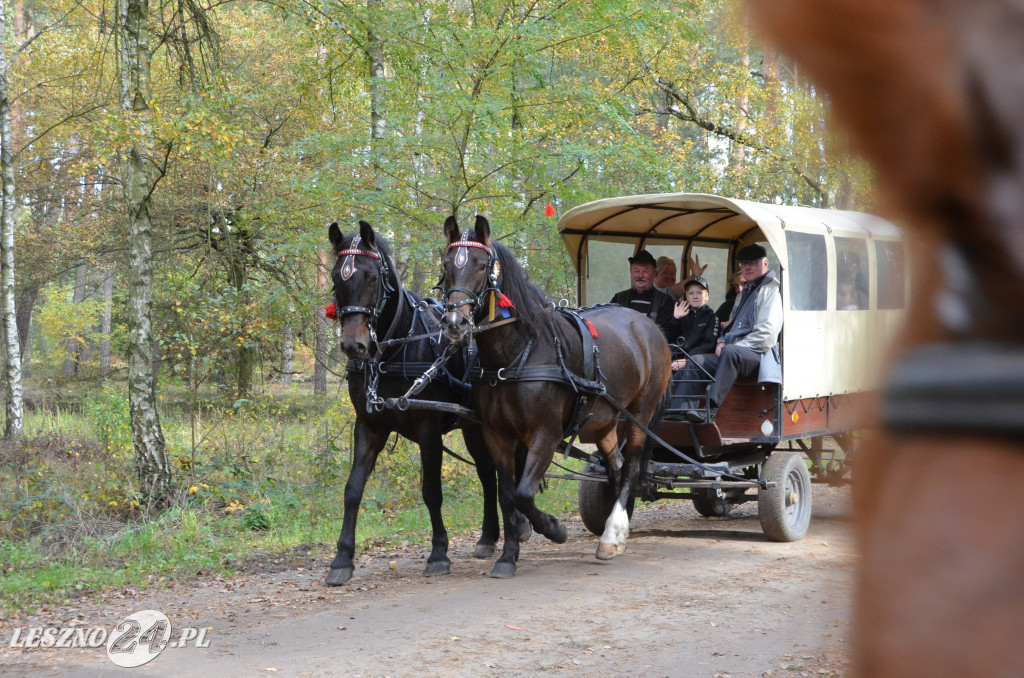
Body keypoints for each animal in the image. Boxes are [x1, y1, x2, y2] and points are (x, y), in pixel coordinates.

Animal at [325, 220, 528, 585]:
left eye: (372, 278)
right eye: (337, 277)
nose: (353, 345)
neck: (394, 351)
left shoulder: (428, 430)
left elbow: (431, 491)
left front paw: (438, 554)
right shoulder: (368, 427)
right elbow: (352, 490)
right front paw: (342, 559)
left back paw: (520, 525)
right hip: (474, 427)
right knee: (487, 473)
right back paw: (488, 537)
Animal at [438, 215, 671, 577]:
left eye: (480, 265)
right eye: (447, 264)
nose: (454, 322)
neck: (516, 355)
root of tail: (647, 325)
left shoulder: (544, 435)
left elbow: (523, 494)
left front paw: (554, 529)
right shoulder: (497, 435)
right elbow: (507, 495)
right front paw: (508, 557)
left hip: (640, 413)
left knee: (631, 467)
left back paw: (611, 535)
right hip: (604, 419)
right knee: (615, 466)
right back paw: (615, 530)